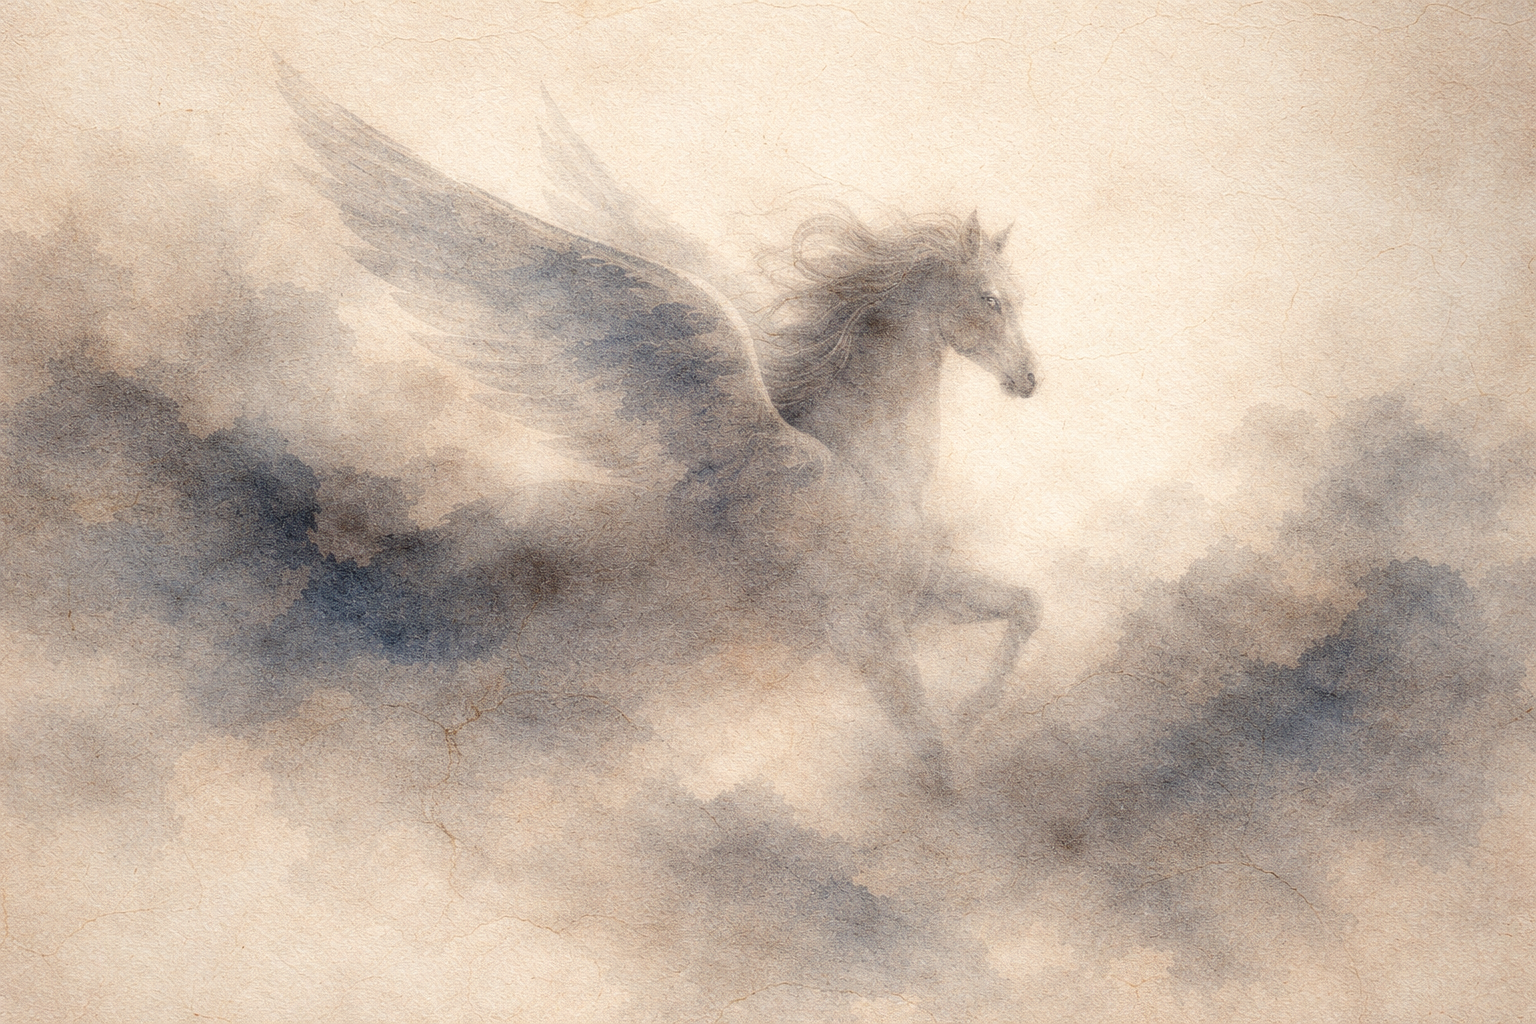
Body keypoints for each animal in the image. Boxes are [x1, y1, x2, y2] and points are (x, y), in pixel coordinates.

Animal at [281, 67, 1041, 790]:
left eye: (1015, 299)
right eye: (990, 300)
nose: (1029, 380)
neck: (867, 465)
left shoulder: (915, 596)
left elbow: (1024, 609)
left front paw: (974, 715)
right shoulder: (865, 628)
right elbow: (935, 761)